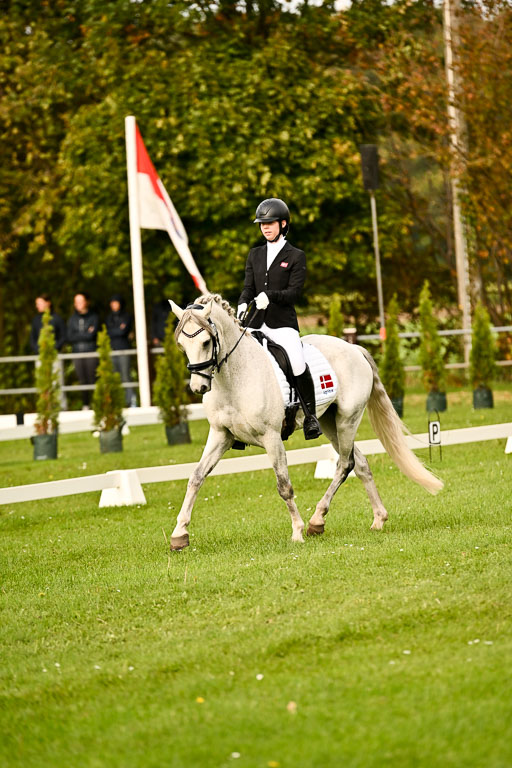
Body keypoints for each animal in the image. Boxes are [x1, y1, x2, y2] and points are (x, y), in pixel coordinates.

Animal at [168, 294, 443, 550]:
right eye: (181, 344)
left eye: (206, 341)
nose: (198, 387)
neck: (235, 378)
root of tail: (354, 349)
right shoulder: (221, 434)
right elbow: (196, 477)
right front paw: (179, 535)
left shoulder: (271, 437)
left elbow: (284, 485)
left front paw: (297, 531)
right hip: (330, 423)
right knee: (361, 464)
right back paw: (377, 519)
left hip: (348, 420)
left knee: (345, 464)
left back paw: (316, 521)